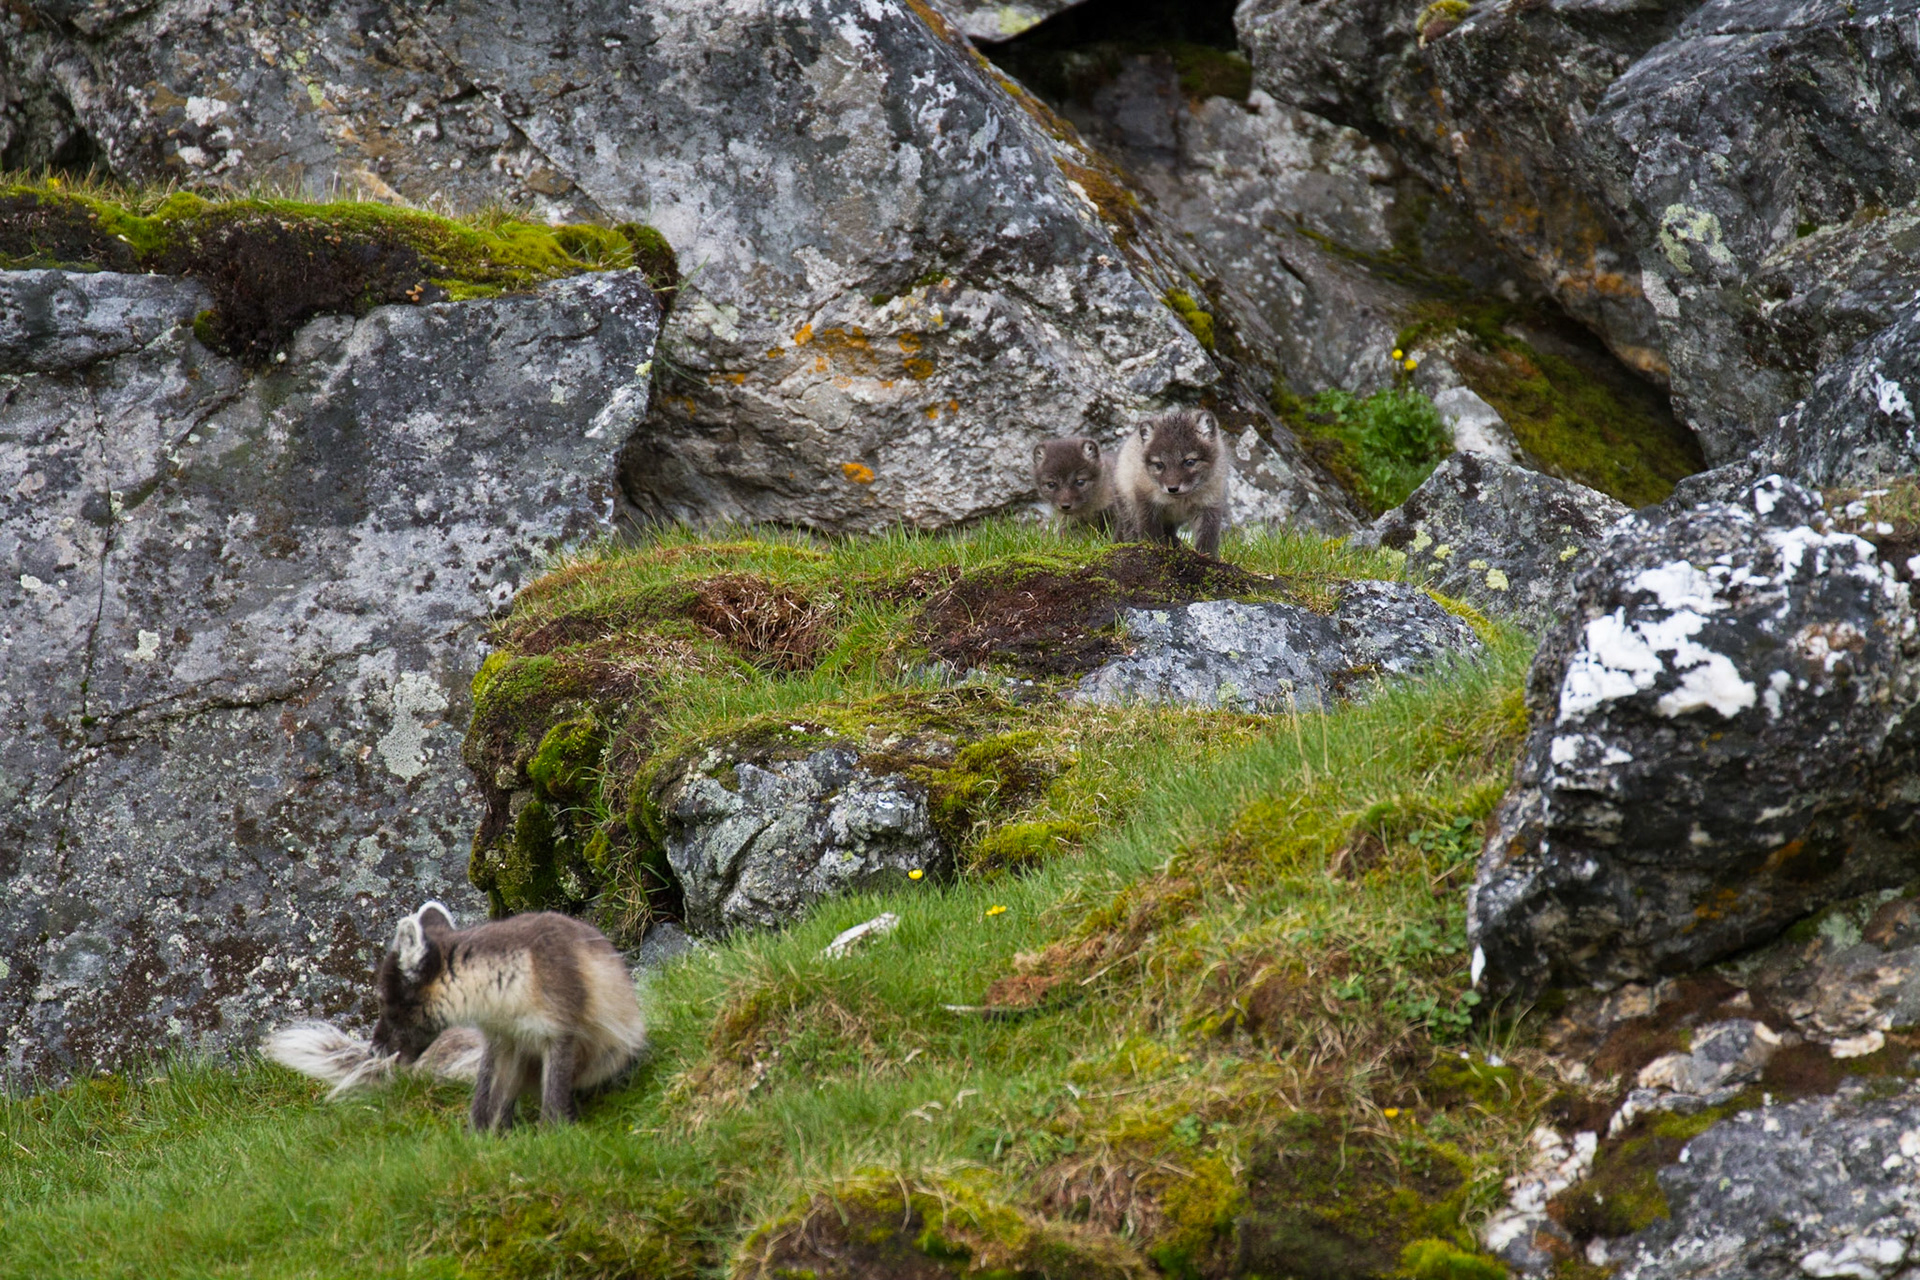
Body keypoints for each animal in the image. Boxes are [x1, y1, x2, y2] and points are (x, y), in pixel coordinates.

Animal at [263, 902, 647, 1131]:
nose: (374, 1049)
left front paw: (552, 1134)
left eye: (385, 1001)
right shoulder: (502, 1040)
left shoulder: (558, 1032)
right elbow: (487, 1101)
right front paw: (483, 1141)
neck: (504, 996)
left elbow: (552, 1097)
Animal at [1115, 409, 1230, 557]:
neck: (1179, 501)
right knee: (1130, 530)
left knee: (1169, 532)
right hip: (1128, 507)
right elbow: (1150, 533)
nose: (1173, 488)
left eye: (1189, 462)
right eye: (1159, 465)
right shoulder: (1147, 504)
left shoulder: (1210, 505)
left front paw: (1206, 556)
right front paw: (1154, 549)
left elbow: (1208, 537)